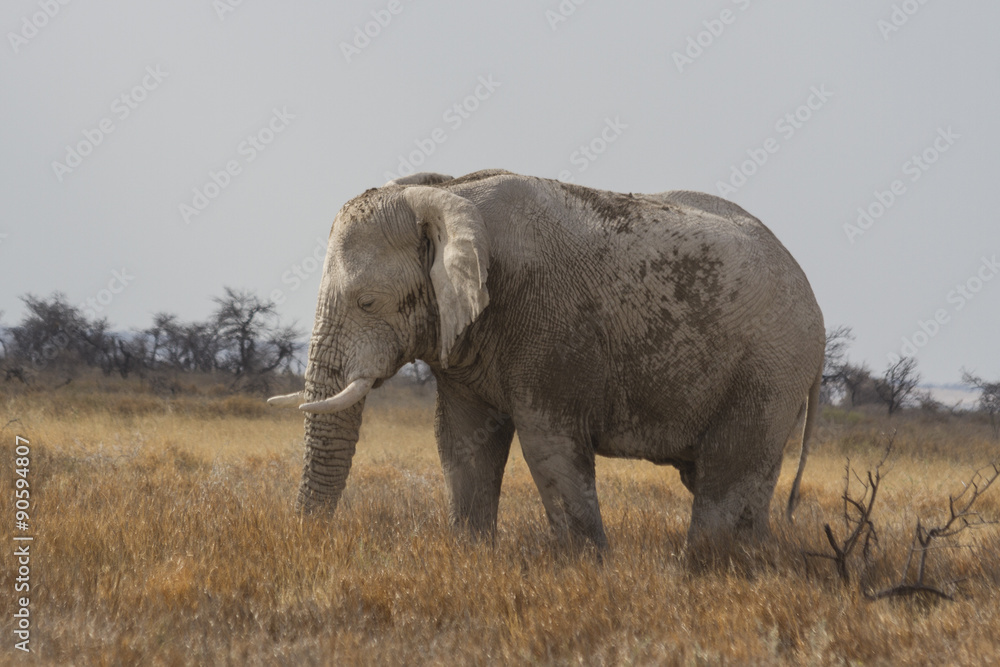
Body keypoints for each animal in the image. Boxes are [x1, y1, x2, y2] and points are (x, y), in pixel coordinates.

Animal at [269, 169, 825, 550]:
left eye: (367, 302)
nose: (310, 543)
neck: (451, 190)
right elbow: (461, 442)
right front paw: (472, 558)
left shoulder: (551, 324)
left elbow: (547, 443)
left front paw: (589, 570)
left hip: (770, 367)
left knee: (727, 473)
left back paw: (710, 570)